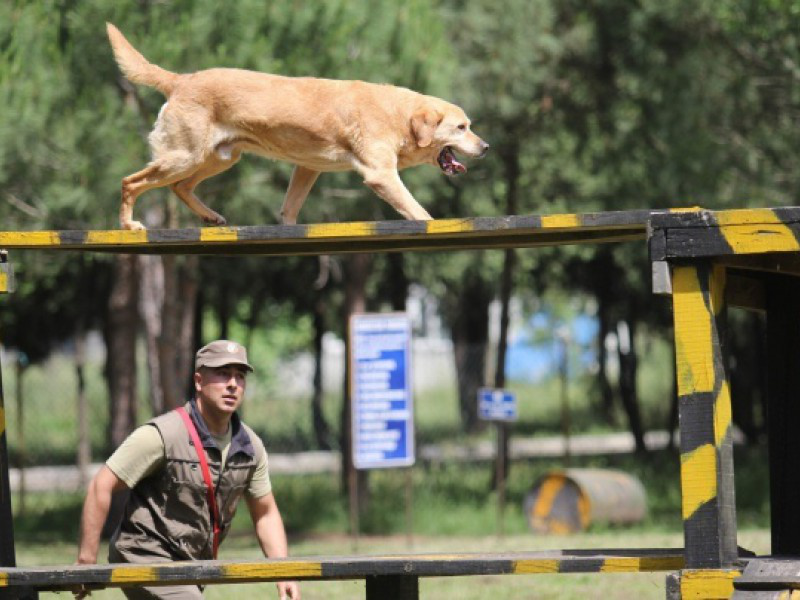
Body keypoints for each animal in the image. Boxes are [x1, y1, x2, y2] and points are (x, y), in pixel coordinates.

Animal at [106, 23, 488, 230]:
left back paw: (211, 217)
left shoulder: (307, 168)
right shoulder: (381, 174)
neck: (398, 114)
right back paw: (128, 224)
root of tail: (180, 79)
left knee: (180, 187)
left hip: (219, 157)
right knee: (130, 182)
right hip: (185, 156)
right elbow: (418, 210)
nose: (486, 147)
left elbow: (289, 210)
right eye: (462, 127)